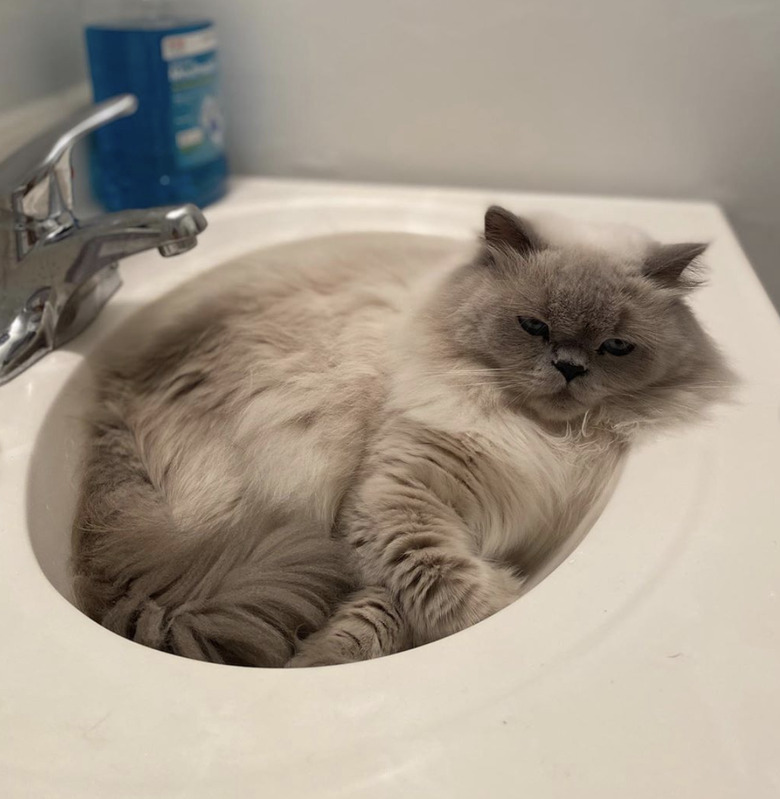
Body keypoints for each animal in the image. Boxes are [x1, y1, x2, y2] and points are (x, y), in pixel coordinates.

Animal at [68, 208, 732, 668]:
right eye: (533, 326)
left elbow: (392, 609)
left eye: (615, 347)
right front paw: (505, 604)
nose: (569, 369)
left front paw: (322, 657)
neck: (544, 439)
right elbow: (442, 589)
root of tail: (120, 388)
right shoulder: (399, 500)